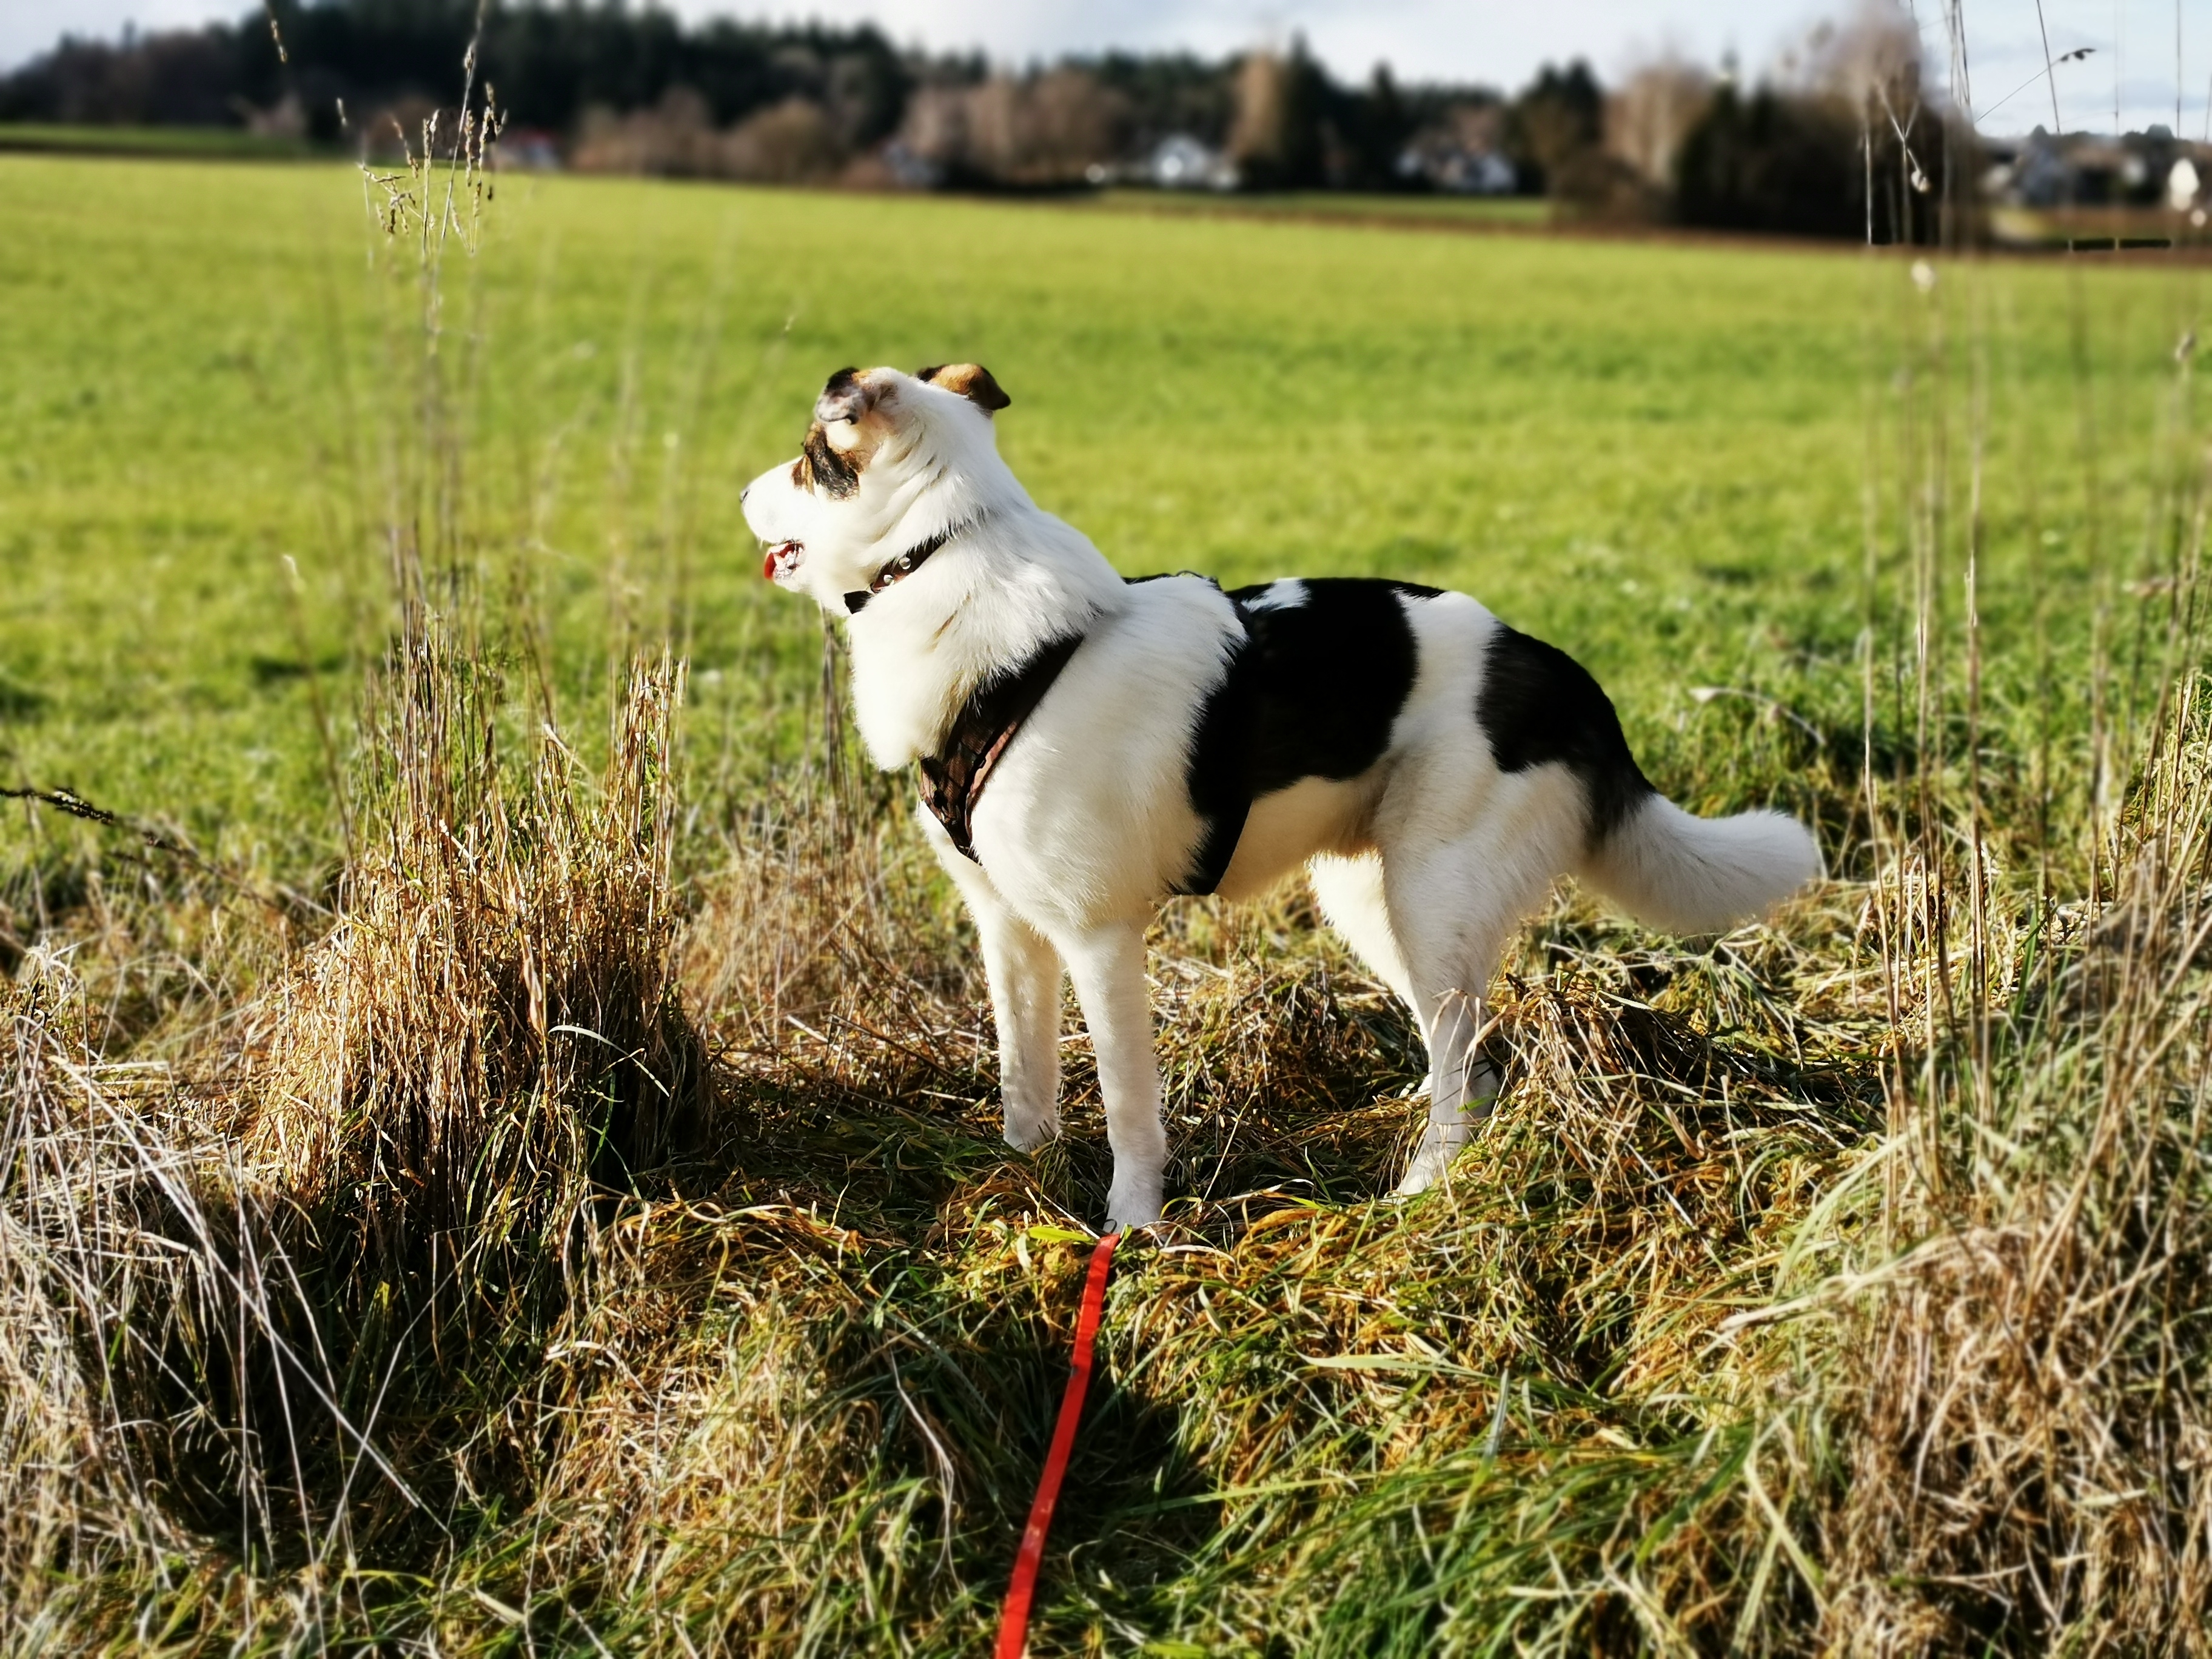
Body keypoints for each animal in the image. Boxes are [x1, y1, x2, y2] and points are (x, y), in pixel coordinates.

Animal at [741, 363, 1822, 1227]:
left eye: (802, 460)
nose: (742, 492)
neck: (945, 558)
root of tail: (1559, 672)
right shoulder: (1008, 926)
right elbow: (1025, 1078)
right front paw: (1024, 1177)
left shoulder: (1099, 936)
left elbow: (1129, 1110)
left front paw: (1132, 1230)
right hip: (1374, 903)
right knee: (1470, 1060)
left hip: (1430, 902)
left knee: (1463, 1065)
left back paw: (1419, 1192)